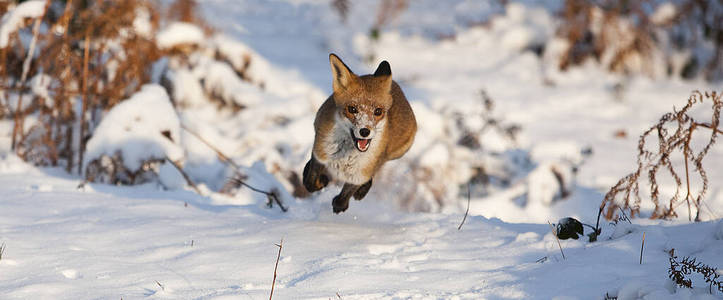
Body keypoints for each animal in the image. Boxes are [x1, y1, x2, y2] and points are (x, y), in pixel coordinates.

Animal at [302, 54, 418, 213]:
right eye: (352, 109)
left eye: (378, 111)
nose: (364, 131)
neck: (345, 157)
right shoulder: (320, 154)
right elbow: (310, 183)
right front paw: (320, 181)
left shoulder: (360, 174)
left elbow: (342, 199)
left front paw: (343, 203)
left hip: (397, 153)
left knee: (375, 172)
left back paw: (362, 191)